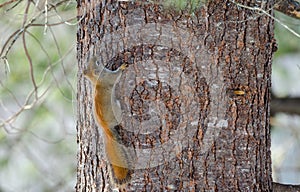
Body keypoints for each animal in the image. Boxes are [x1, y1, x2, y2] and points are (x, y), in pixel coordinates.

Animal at [84, 57, 132, 186]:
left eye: (93, 61)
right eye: (97, 63)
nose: (95, 57)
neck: (97, 80)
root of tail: (105, 127)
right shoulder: (109, 77)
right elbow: (116, 75)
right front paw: (122, 67)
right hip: (116, 110)